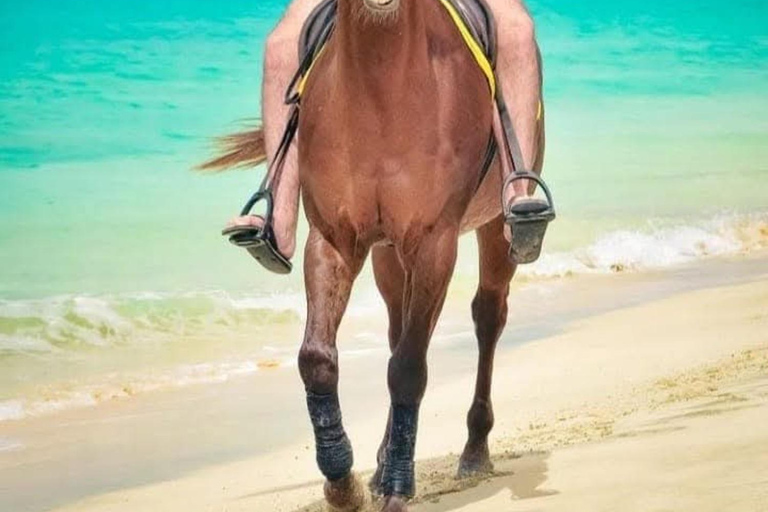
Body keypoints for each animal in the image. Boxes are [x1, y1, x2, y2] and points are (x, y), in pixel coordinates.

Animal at [205, 0, 544, 510]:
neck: (382, 85)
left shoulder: (434, 243)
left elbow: (408, 368)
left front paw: (399, 487)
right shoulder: (333, 240)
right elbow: (318, 359)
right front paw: (343, 481)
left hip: (492, 232)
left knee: (487, 317)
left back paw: (473, 450)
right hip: (388, 255)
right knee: (397, 330)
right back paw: (384, 464)